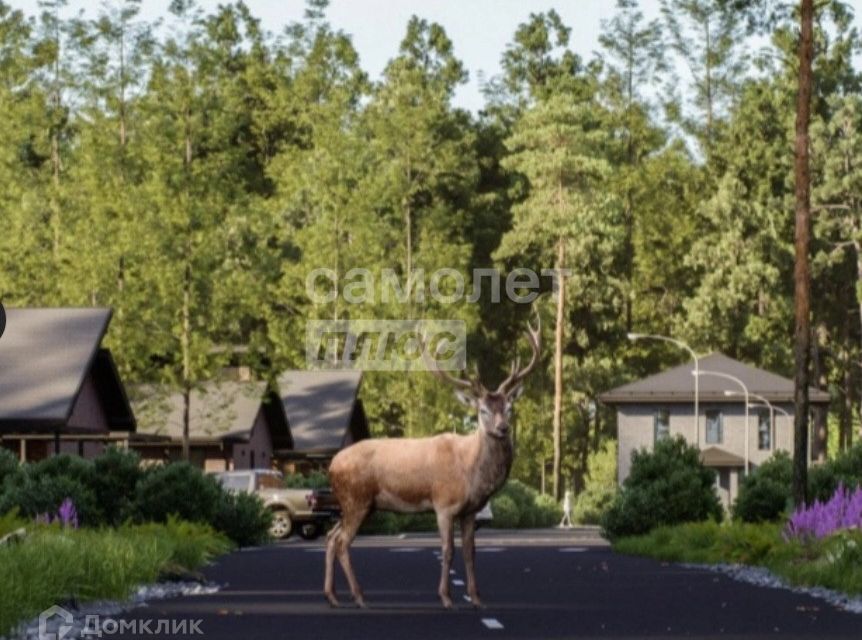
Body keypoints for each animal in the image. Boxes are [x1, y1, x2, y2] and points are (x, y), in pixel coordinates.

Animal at [324, 316, 540, 608]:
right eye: (482, 410)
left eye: (508, 408)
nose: (503, 428)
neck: (471, 472)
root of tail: (332, 465)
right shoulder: (444, 504)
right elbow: (448, 550)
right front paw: (446, 597)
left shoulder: (470, 511)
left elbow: (471, 552)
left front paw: (476, 597)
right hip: (356, 498)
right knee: (343, 542)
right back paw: (359, 597)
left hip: (356, 504)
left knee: (331, 536)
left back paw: (333, 596)